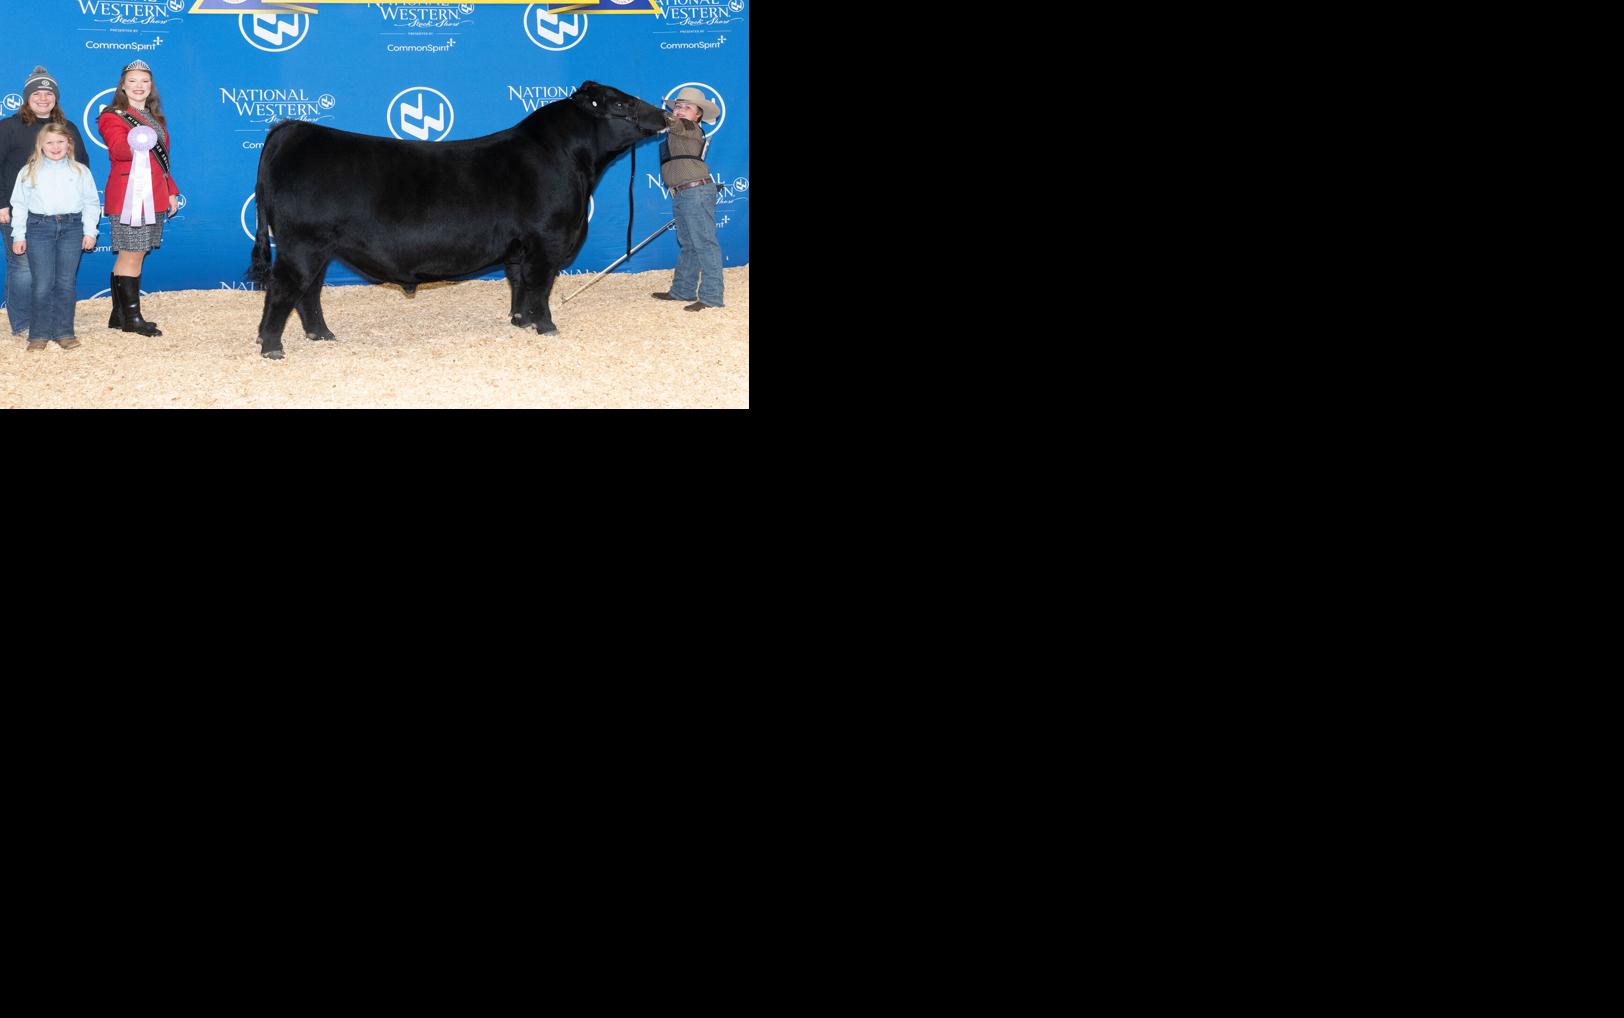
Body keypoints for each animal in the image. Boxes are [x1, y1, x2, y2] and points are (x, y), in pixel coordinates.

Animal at [247, 80, 670, 359]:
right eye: (621, 104)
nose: (664, 113)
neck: (569, 162)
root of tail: (295, 129)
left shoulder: (519, 250)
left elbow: (519, 286)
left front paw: (520, 322)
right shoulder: (545, 243)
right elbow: (540, 289)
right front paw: (547, 327)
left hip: (318, 249)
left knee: (309, 293)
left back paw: (321, 335)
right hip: (302, 246)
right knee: (284, 290)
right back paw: (272, 347)